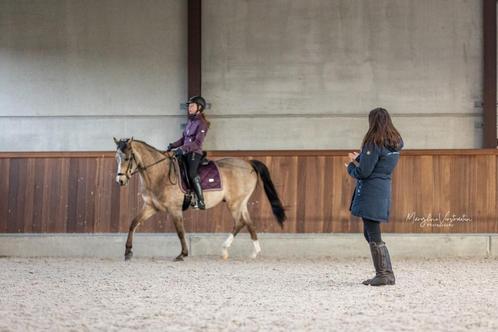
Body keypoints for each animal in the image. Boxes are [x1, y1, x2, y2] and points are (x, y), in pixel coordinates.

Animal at [112, 136, 284, 260]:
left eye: (127, 158)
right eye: (117, 158)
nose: (120, 181)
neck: (160, 174)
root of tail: (248, 164)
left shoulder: (174, 209)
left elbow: (180, 231)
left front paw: (183, 254)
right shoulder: (151, 207)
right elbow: (133, 223)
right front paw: (128, 252)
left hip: (234, 203)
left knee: (240, 223)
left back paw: (224, 249)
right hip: (241, 203)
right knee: (249, 223)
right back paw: (255, 252)